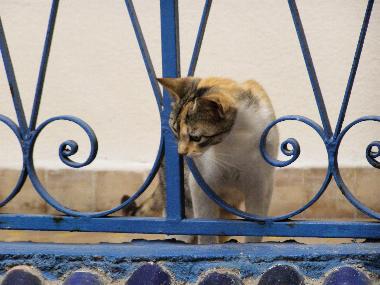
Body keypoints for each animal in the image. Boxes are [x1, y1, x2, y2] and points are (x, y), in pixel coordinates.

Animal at [122, 76, 280, 243]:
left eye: (196, 138)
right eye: (175, 130)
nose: (180, 152)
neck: (234, 140)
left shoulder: (260, 186)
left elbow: (255, 228)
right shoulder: (201, 186)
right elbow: (206, 227)